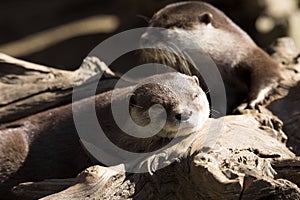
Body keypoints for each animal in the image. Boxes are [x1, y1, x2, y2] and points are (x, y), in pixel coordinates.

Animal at [139, 0, 282, 111]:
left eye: (168, 26)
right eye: (150, 24)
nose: (144, 39)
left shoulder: (250, 54)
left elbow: (269, 71)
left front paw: (250, 101)